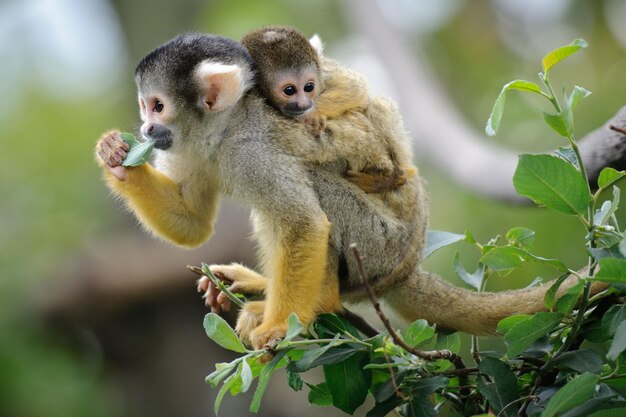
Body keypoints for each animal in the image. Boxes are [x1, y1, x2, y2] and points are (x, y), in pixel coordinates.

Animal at [241, 26, 412, 193]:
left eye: (309, 87)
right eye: (289, 90)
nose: (304, 105)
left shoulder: (324, 71)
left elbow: (355, 87)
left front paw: (313, 115)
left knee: (377, 105)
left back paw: (394, 179)